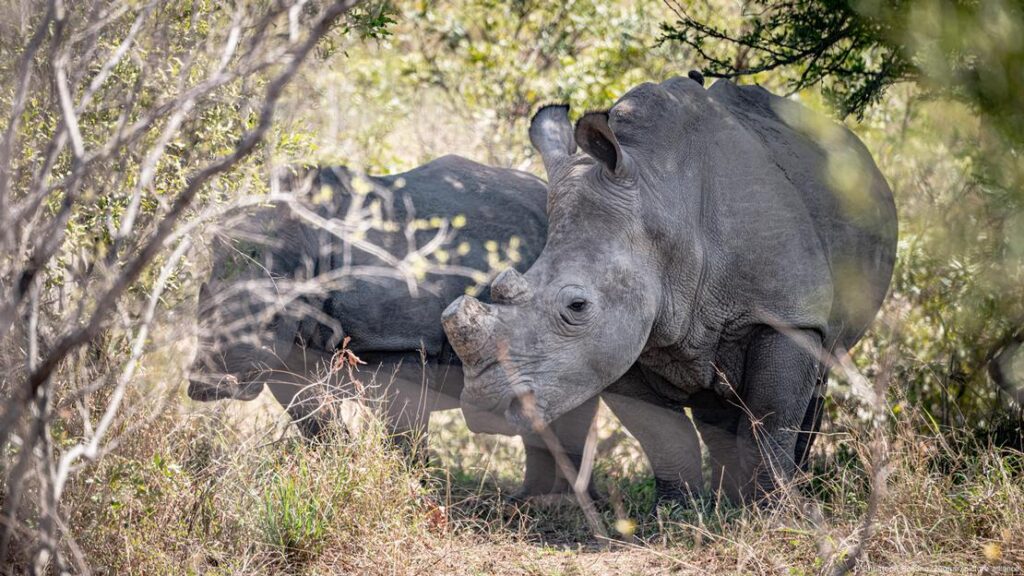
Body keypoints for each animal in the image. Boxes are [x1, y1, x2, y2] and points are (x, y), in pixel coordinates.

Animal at [186, 154, 598, 496]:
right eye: (198, 311)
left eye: (271, 319)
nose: (210, 385)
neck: (306, 249)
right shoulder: (289, 356)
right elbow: (317, 423)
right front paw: (338, 472)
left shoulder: (401, 342)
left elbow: (404, 430)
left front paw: (413, 491)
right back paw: (533, 499)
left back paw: (551, 502)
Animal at [442, 77, 897, 502]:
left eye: (577, 306)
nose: (485, 406)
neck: (660, 202)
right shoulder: (617, 342)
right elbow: (663, 433)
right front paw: (679, 512)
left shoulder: (787, 315)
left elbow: (770, 422)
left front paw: (773, 512)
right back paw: (727, 497)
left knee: (818, 373)